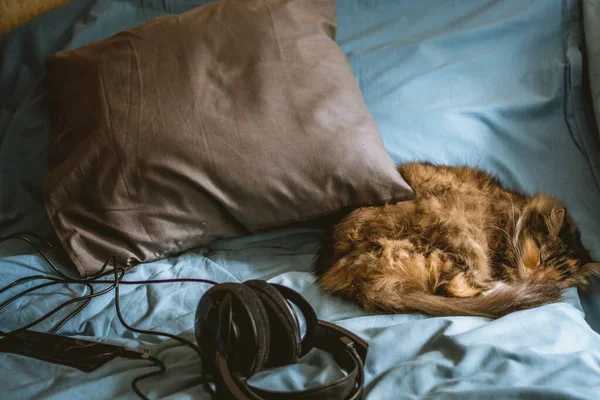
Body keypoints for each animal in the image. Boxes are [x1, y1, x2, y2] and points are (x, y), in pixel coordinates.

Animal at [314, 162, 600, 318]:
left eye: (556, 278)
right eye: (539, 258)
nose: (537, 281)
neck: (516, 211)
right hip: (459, 235)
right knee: (451, 288)